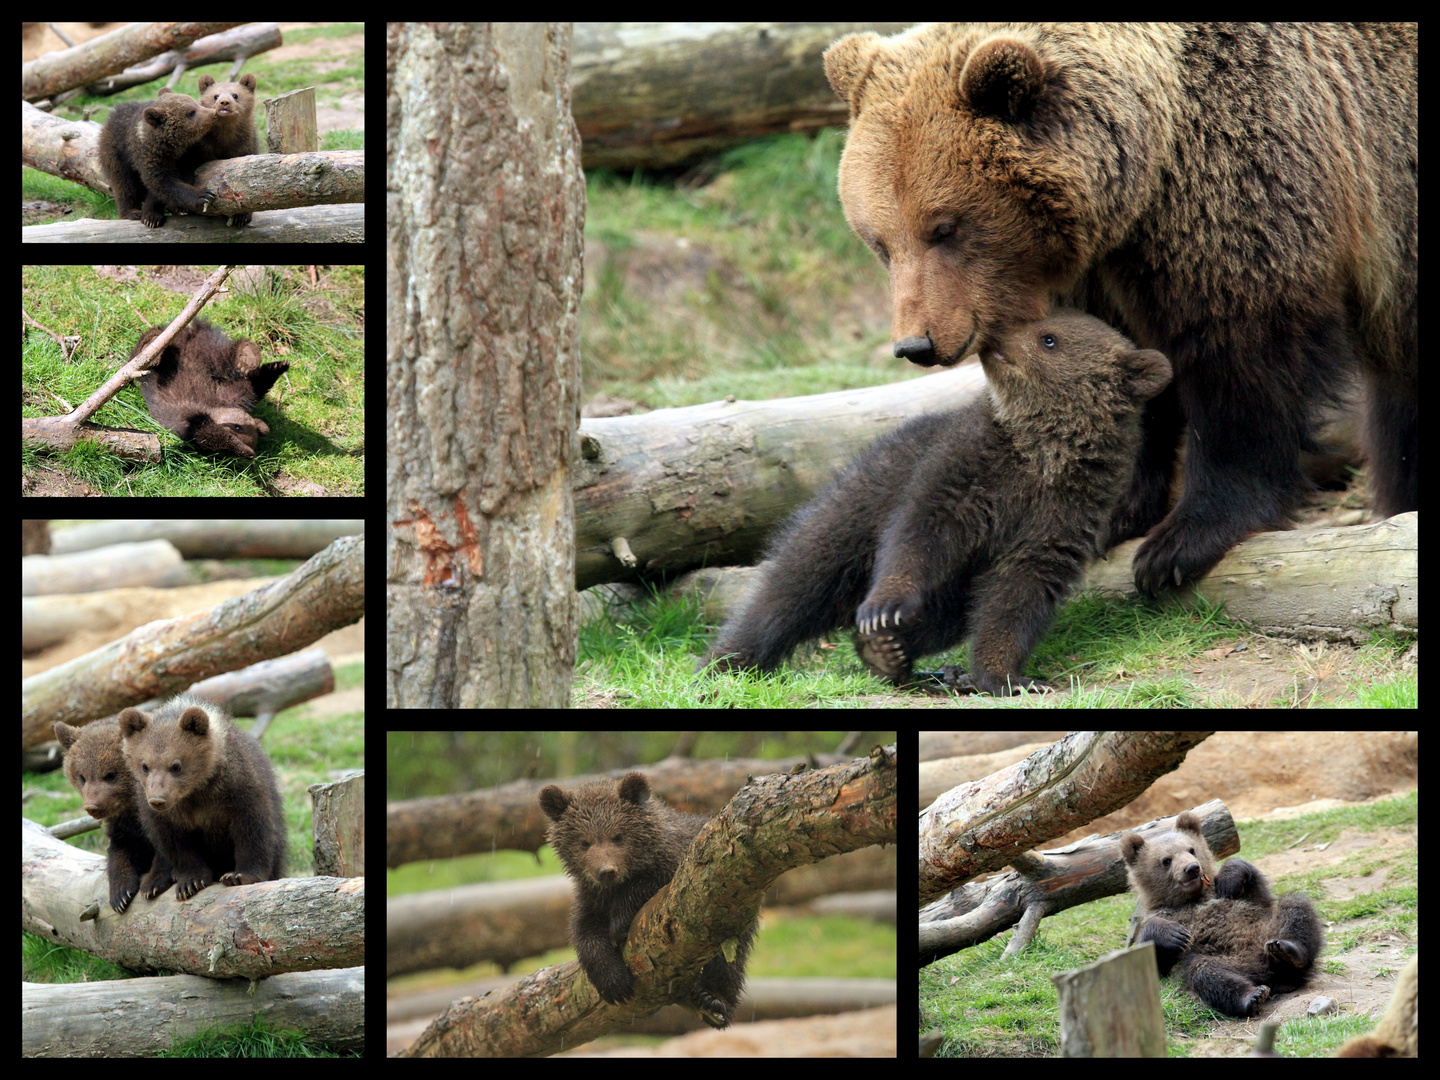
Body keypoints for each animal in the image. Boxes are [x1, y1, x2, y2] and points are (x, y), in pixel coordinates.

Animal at [823, 23, 1416, 601]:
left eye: (945, 228)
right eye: (880, 242)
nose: (916, 344)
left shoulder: (1251, 176)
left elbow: (1241, 360)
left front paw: (1181, 542)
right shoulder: (1105, 272)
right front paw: (1117, 509)